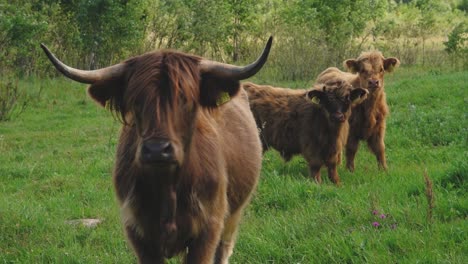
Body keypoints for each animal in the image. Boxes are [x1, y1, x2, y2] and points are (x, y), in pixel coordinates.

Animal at [42, 37, 272, 264]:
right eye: (135, 101)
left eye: (186, 99)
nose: (157, 150)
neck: (167, 186)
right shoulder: (138, 232)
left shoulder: (208, 228)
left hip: (233, 216)